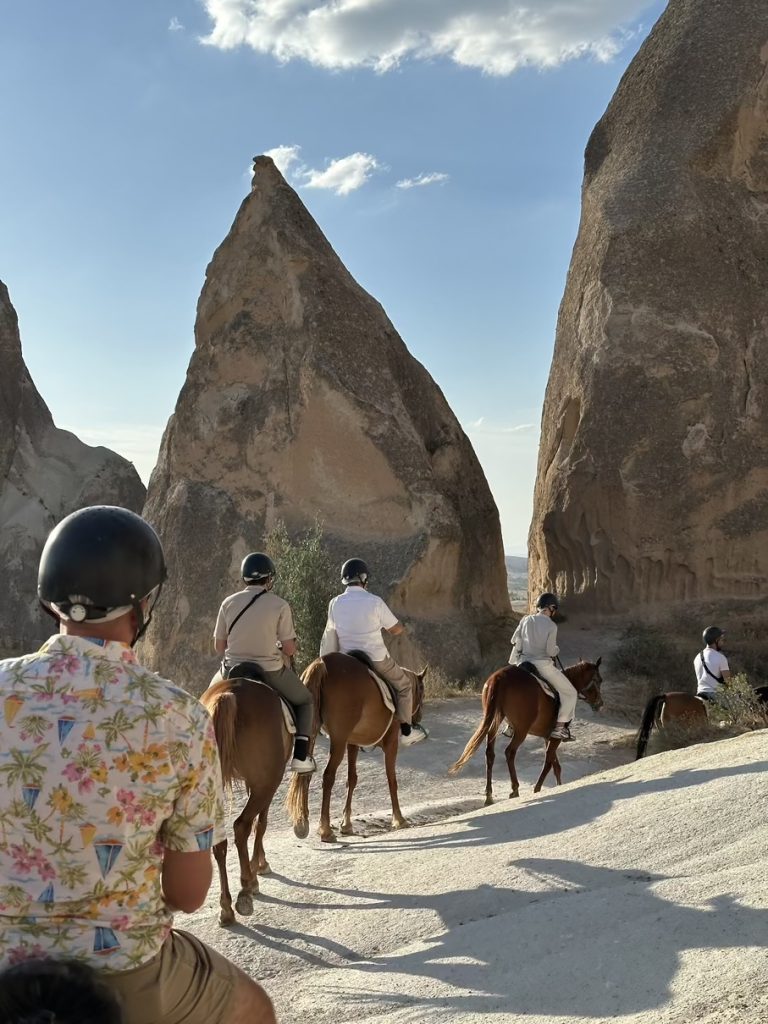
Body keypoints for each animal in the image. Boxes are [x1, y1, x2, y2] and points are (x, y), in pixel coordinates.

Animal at [201, 679, 290, 929]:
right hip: (267, 782)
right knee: (241, 826)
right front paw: (259, 867)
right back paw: (245, 891)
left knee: (220, 839)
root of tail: (227, 694)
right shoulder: (266, 784)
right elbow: (262, 823)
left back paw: (226, 908)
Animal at [286, 651, 428, 843]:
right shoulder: (391, 742)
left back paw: (302, 824)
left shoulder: (352, 743)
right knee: (328, 776)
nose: (418, 717)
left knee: (305, 774)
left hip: (314, 734)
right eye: (422, 692)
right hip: (338, 740)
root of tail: (322, 663)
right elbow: (391, 779)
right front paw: (399, 819)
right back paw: (325, 829)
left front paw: (346, 824)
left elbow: (352, 779)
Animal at [448, 659, 606, 802]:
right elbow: (549, 762)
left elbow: (555, 765)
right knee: (510, 752)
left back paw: (489, 796)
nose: (600, 703)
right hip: (521, 730)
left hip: (494, 721)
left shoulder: (547, 736)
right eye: (599, 680)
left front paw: (558, 785)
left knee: (490, 754)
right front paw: (538, 788)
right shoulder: (555, 737)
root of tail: (499, 677)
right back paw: (515, 789)